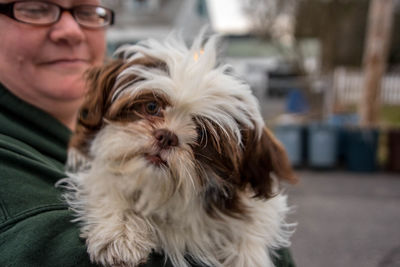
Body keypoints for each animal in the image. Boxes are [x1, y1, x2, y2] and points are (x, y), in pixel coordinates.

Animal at [59, 31, 296, 267]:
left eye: (202, 134)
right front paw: (120, 232)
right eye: (151, 107)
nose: (166, 137)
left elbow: (253, 224)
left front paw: (248, 255)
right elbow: (107, 184)